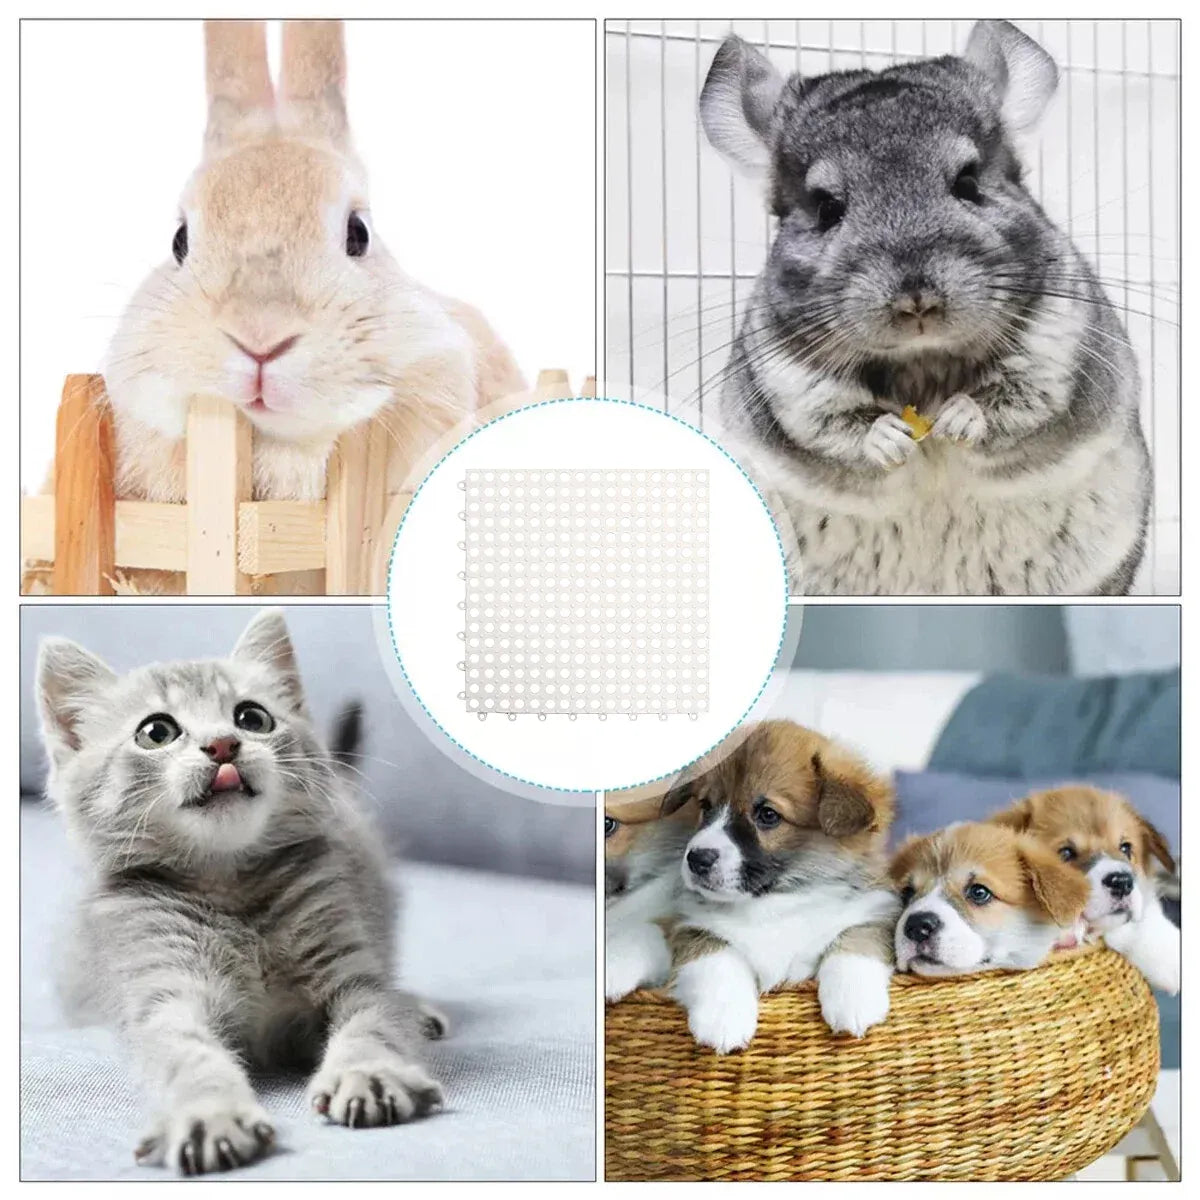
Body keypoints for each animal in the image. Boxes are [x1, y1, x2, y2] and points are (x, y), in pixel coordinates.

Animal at [698, 20, 1151, 596]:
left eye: (968, 182)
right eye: (826, 207)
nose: (917, 300)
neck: (923, 362)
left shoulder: (1058, 354)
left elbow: (1017, 403)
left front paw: (959, 418)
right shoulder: (791, 388)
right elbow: (835, 428)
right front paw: (890, 438)